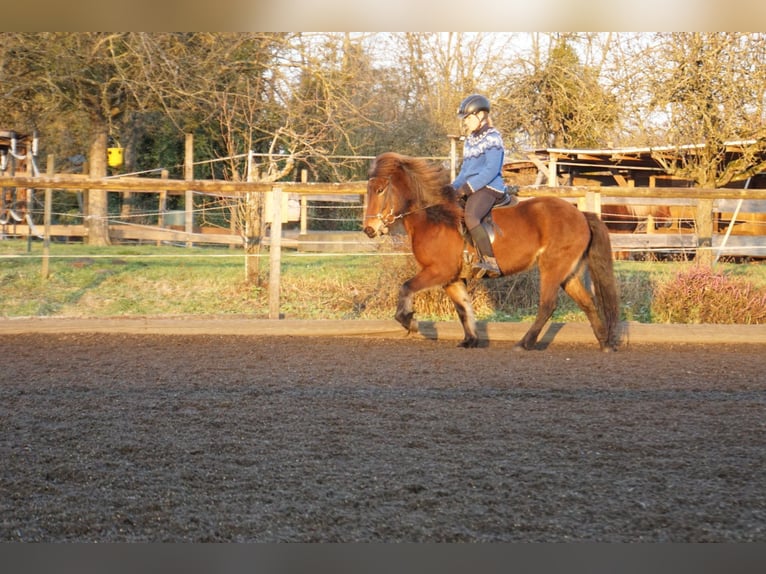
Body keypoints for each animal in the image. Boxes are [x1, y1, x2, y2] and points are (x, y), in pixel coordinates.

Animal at [363, 152, 621, 352]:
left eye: (381, 190)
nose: (369, 229)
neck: (435, 218)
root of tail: (581, 215)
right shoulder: (451, 278)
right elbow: (463, 308)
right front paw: (471, 340)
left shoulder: (439, 270)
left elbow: (406, 287)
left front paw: (410, 322)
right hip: (568, 272)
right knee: (587, 302)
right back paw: (604, 343)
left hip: (552, 267)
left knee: (548, 305)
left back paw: (524, 343)